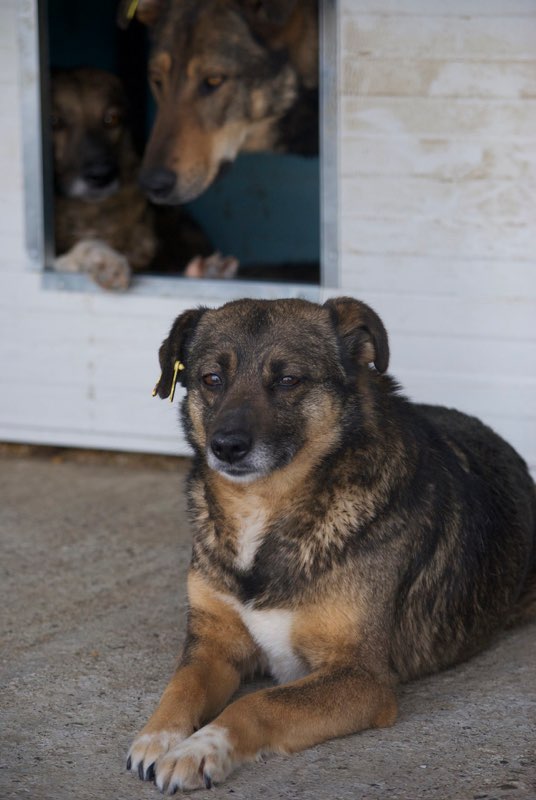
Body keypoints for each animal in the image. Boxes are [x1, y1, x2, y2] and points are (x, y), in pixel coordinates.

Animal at [126, 296, 536, 792]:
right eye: (211, 379)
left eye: (288, 379)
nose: (226, 447)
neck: (262, 507)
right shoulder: (212, 643)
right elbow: (182, 684)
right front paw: (158, 736)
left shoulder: (362, 677)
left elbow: (259, 703)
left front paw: (200, 748)